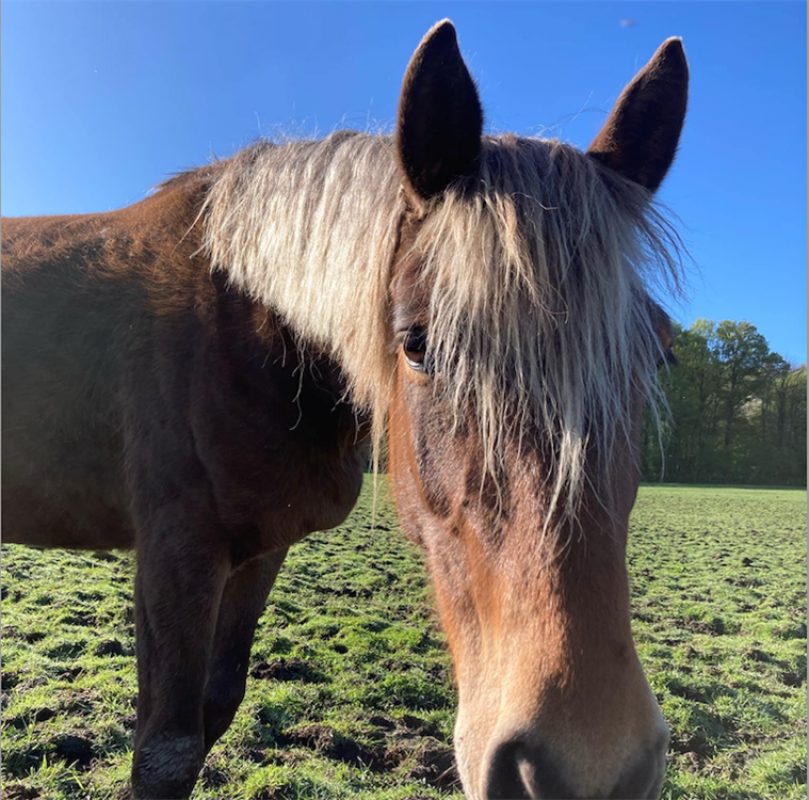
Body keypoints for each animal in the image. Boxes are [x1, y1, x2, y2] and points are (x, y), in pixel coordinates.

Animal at [2, 20, 687, 800]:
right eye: (417, 343)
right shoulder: (175, 552)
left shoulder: (256, 550)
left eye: (659, 354)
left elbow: (214, 706)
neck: (247, 324)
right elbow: (166, 749)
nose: (587, 767)